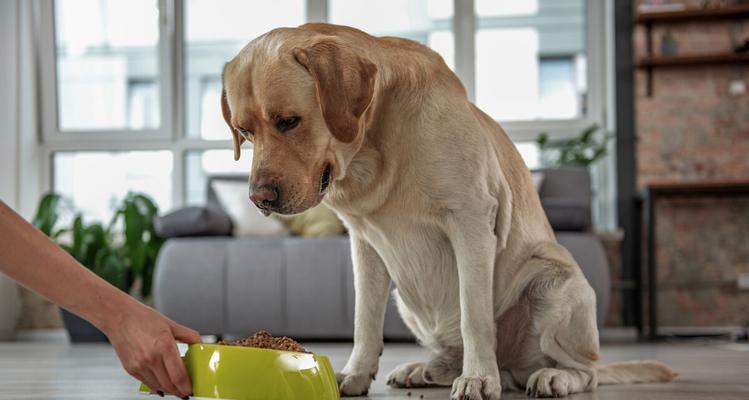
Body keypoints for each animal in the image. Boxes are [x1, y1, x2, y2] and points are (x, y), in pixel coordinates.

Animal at [219, 23, 676, 398]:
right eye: (244, 131)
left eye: (289, 121)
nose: (259, 198)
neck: (374, 151)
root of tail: (514, 367)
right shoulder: (364, 244)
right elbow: (364, 319)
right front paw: (354, 374)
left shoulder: (471, 223)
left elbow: (475, 315)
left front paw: (478, 379)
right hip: (406, 297)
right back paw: (428, 369)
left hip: (554, 282)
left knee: (586, 370)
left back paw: (548, 377)